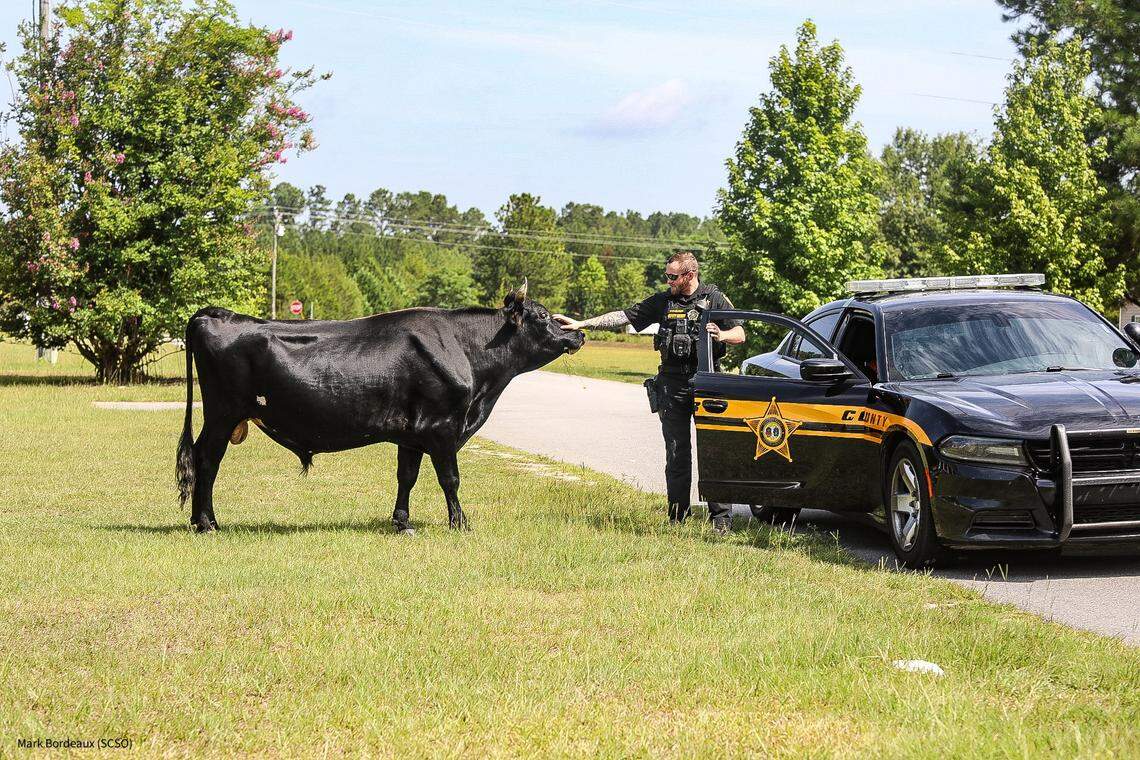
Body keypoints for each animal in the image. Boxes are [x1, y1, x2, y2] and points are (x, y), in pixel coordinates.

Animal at [175, 281, 585, 533]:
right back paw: (207, 523)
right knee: (206, 459)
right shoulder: (443, 427)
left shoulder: (413, 433)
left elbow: (407, 476)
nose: (579, 333)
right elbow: (450, 479)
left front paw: (402, 522)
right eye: (543, 316)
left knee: (199, 457)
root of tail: (217, 313)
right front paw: (461, 523)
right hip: (223, 413)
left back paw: (201, 521)